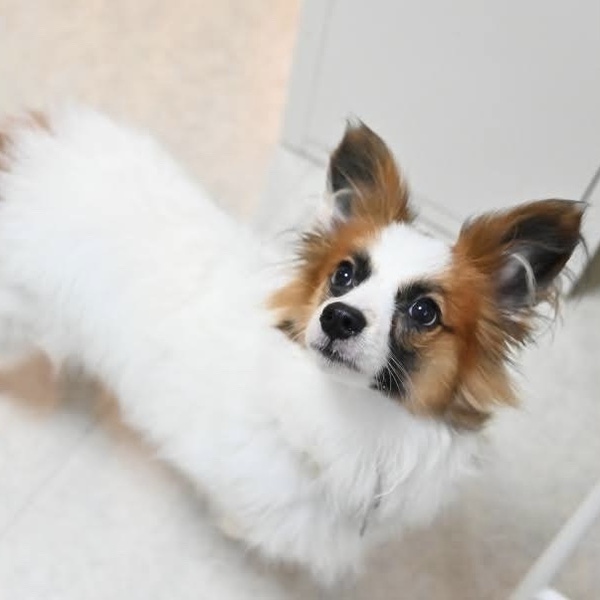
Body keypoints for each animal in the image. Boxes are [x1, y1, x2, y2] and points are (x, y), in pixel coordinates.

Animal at [0, 107, 583, 583]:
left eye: (424, 312)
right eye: (343, 275)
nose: (338, 317)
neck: (351, 419)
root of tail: (25, 145)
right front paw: (231, 524)